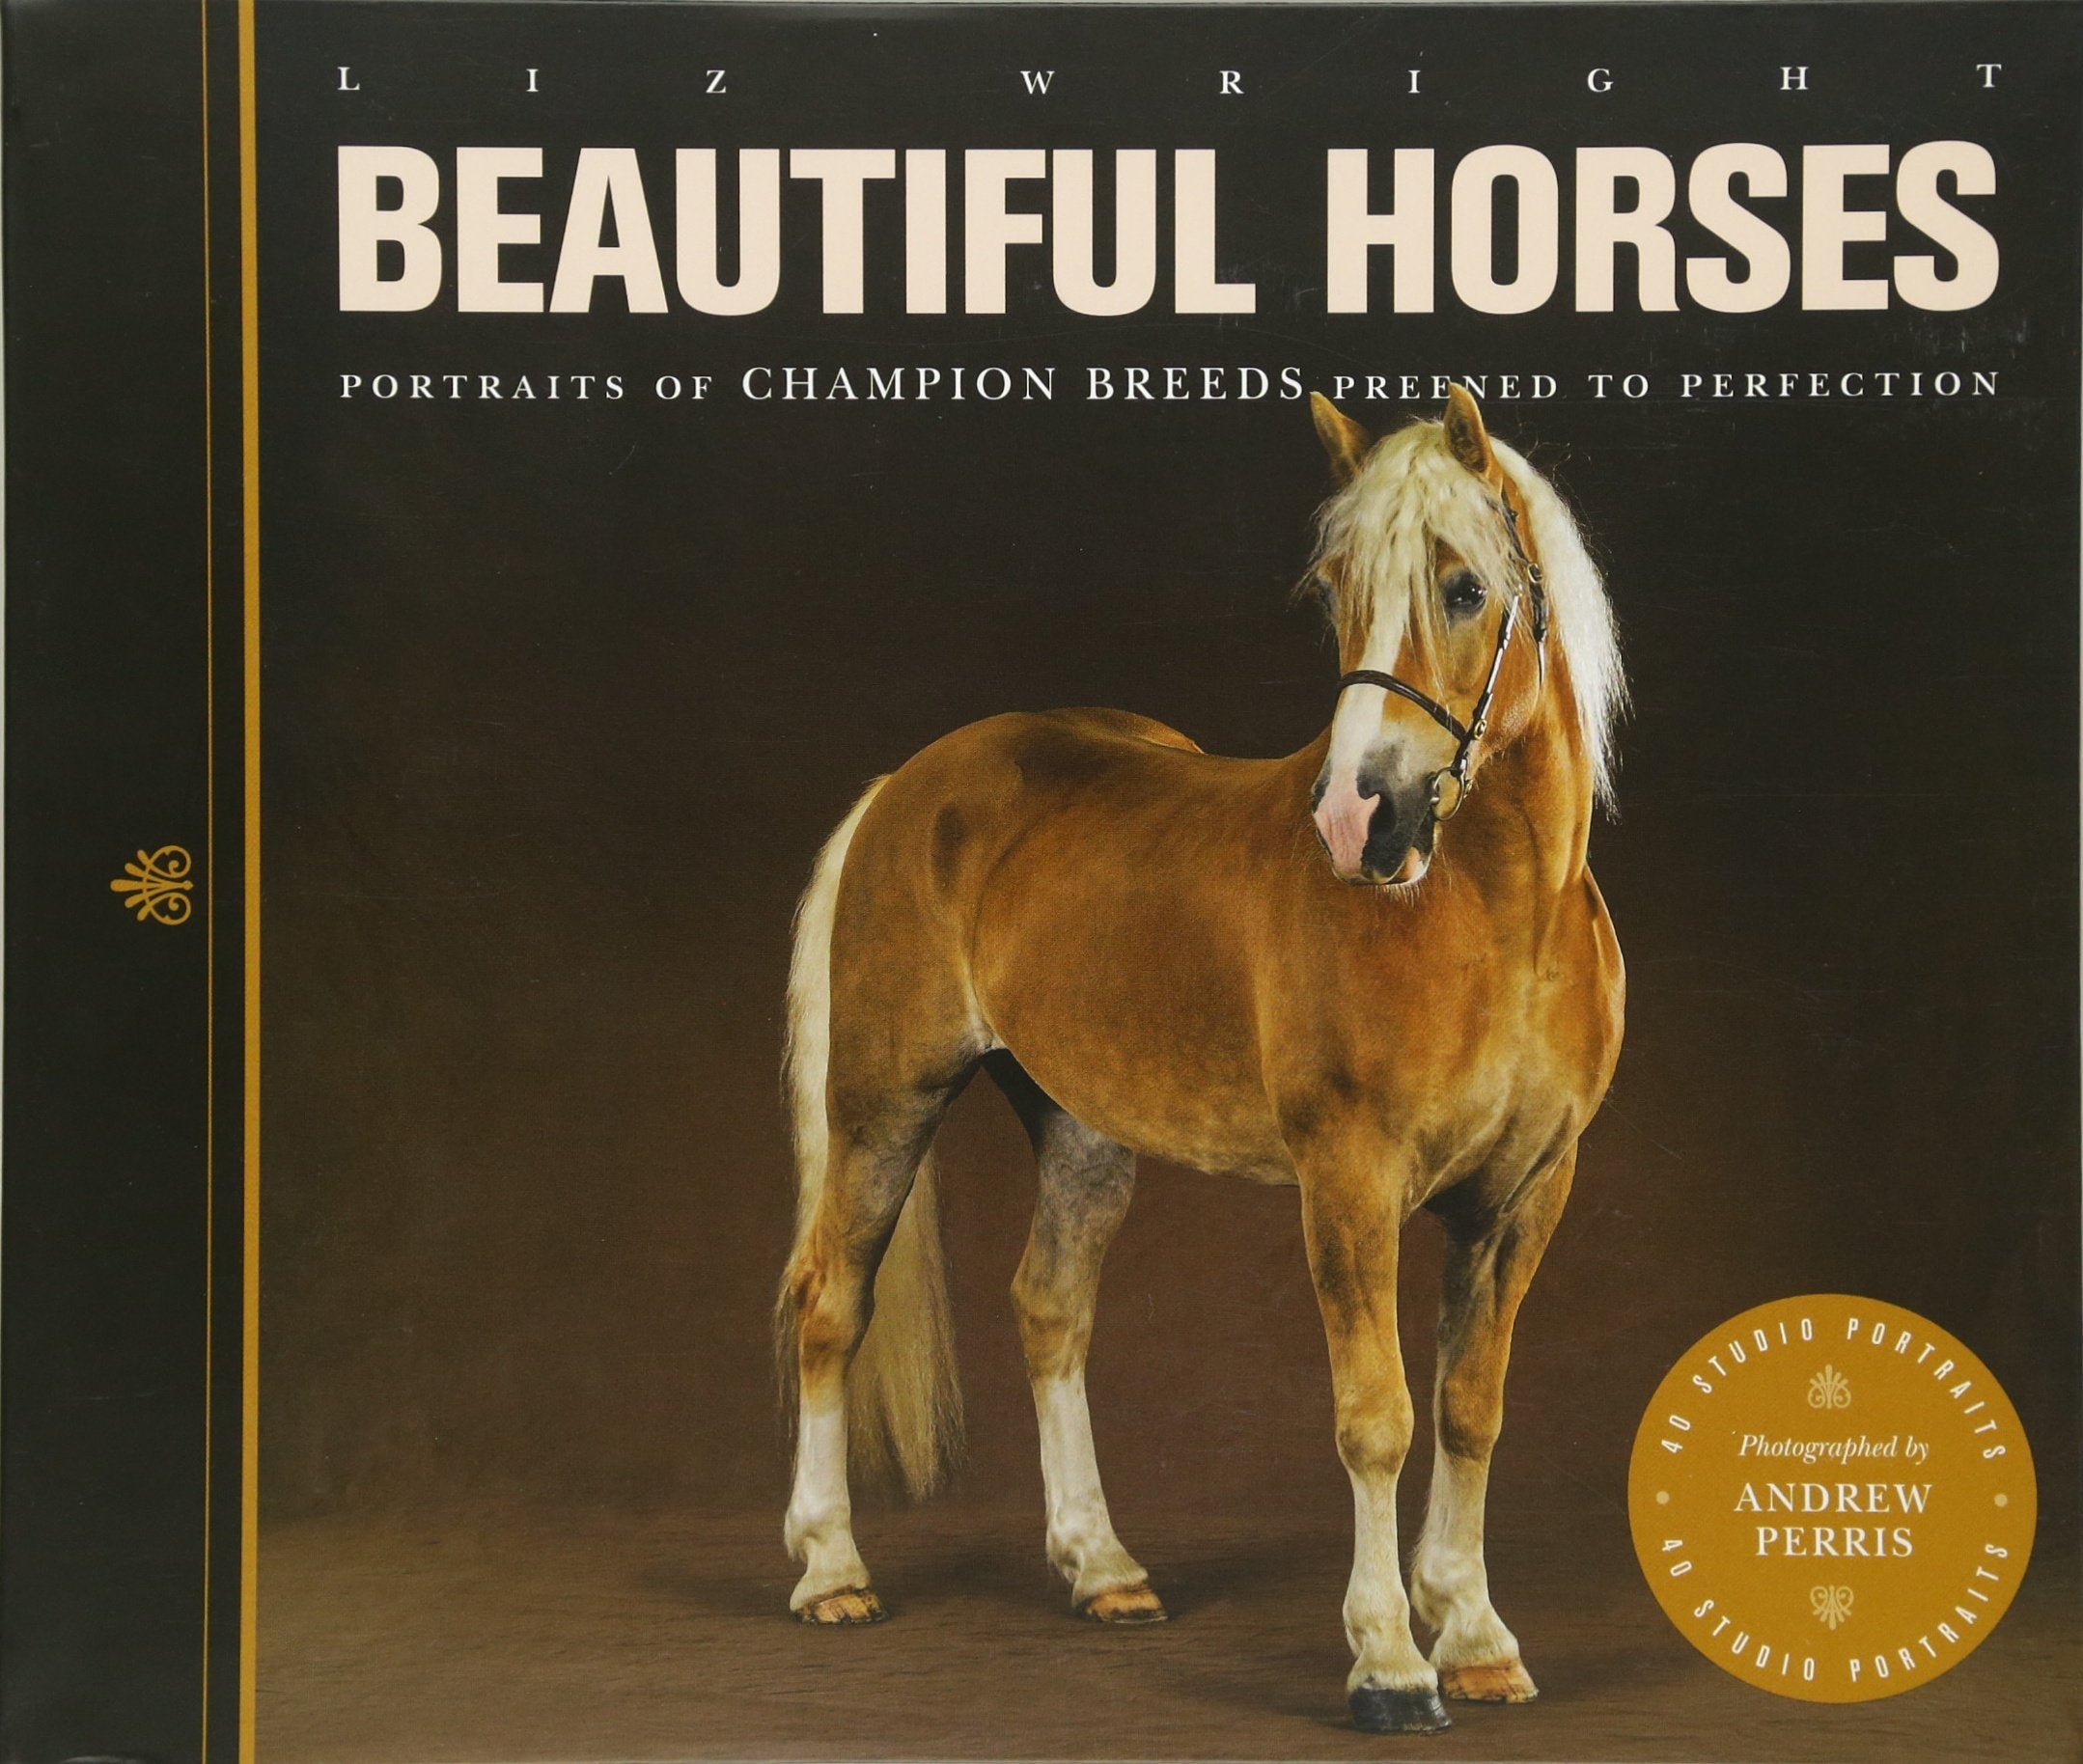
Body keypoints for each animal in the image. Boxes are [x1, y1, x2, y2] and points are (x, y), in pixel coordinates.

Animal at [774, 385, 1626, 1735]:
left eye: (1461, 587)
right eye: (1335, 589)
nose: (1358, 819)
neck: (1498, 921)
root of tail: (911, 781)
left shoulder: (1525, 1194)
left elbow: (1469, 1408)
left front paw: (1476, 1635)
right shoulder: (1351, 1181)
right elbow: (1377, 1416)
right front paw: (1389, 1660)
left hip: (1081, 1130)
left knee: (1049, 1308)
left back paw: (1103, 1567)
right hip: (882, 1106)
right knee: (830, 1305)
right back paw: (831, 1572)